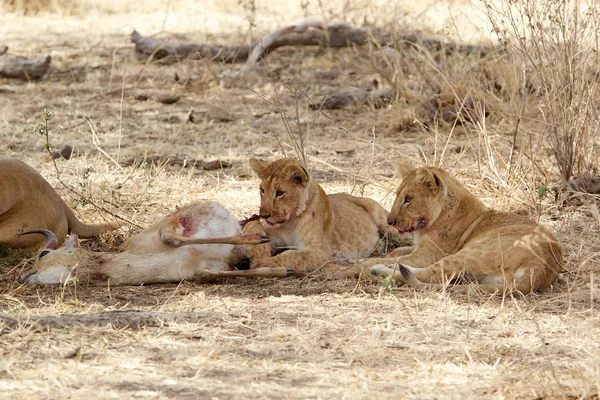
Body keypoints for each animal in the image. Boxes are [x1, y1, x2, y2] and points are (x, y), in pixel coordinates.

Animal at [241, 157, 396, 272]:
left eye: (280, 193)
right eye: (262, 190)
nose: (264, 215)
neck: (290, 221)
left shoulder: (320, 251)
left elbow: (292, 255)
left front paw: (264, 263)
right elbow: (252, 223)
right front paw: (259, 252)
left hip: (384, 220)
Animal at [364, 164, 564, 292]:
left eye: (408, 199)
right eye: (398, 195)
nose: (390, 221)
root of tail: (541, 268)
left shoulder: (427, 255)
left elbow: (389, 258)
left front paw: (367, 262)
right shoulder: (418, 247)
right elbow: (399, 250)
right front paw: (390, 255)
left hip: (471, 252)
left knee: (433, 274)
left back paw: (381, 269)